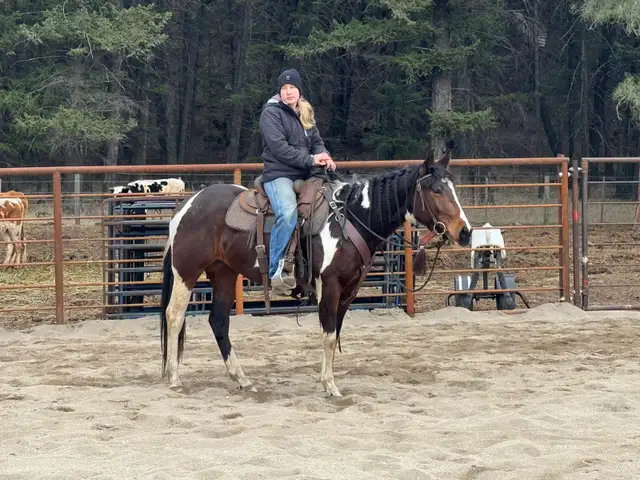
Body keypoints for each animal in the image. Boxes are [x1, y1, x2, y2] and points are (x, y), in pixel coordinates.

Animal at [160, 143, 472, 396]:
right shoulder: (329, 285)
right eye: (437, 190)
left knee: (219, 321)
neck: (351, 218)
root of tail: (186, 206)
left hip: (224, 273)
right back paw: (174, 378)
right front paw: (330, 386)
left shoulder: (349, 290)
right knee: (174, 315)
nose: (465, 232)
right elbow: (329, 335)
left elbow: (334, 334)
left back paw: (242, 379)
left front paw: (328, 381)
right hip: (186, 272)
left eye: (454, 189)